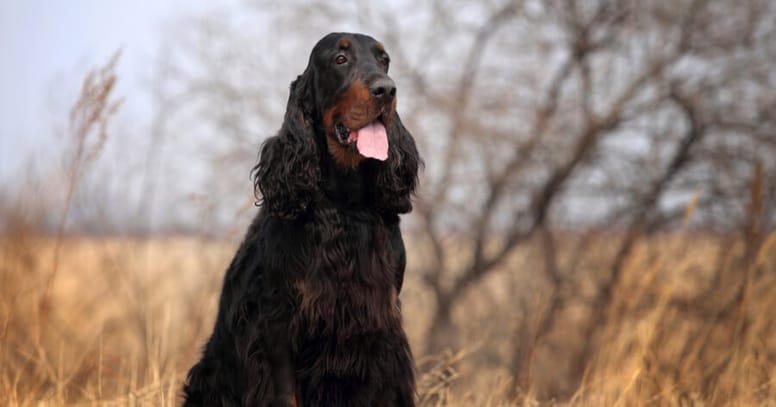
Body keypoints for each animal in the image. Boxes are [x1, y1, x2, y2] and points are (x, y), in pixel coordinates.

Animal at [183, 32, 418, 407]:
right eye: (340, 59)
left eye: (384, 60)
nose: (386, 89)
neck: (345, 204)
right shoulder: (279, 324)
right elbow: (284, 394)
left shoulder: (377, 326)